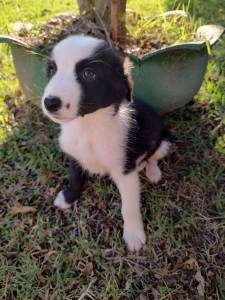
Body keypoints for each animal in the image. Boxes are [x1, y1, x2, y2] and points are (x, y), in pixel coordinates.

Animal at [41, 34, 172, 251]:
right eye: (52, 69)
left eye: (89, 74)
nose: (50, 103)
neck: (87, 126)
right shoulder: (75, 157)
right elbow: (74, 179)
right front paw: (68, 198)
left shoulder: (125, 173)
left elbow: (129, 207)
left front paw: (134, 234)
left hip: (164, 141)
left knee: (153, 156)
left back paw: (152, 171)